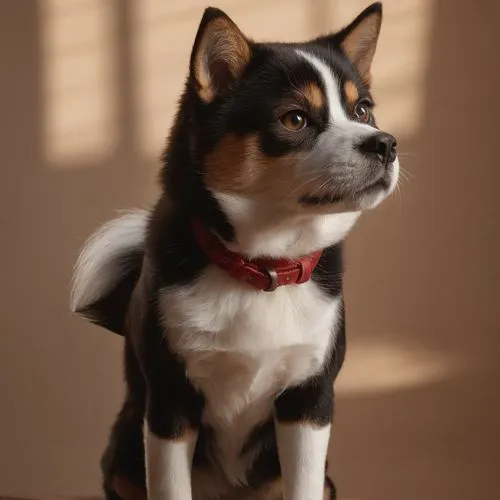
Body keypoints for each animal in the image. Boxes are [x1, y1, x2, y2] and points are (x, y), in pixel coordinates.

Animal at [70, 1, 398, 498]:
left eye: (362, 109)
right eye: (295, 118)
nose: (386, 144)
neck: (261, 267)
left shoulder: (309, 402)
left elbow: (303, 482)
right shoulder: (169, 404)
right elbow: (170, 486)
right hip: (124, 454)